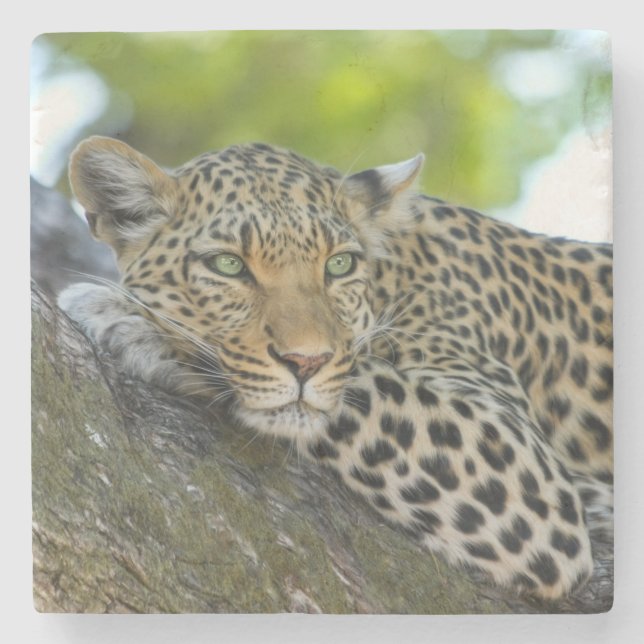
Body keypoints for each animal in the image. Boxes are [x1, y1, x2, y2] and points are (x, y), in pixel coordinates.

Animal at [58, 135, 613, 601]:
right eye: (228, 266)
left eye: (339, 265)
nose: (306, 361)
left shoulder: (527, 471)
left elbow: (356, 383)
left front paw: (130, 320)